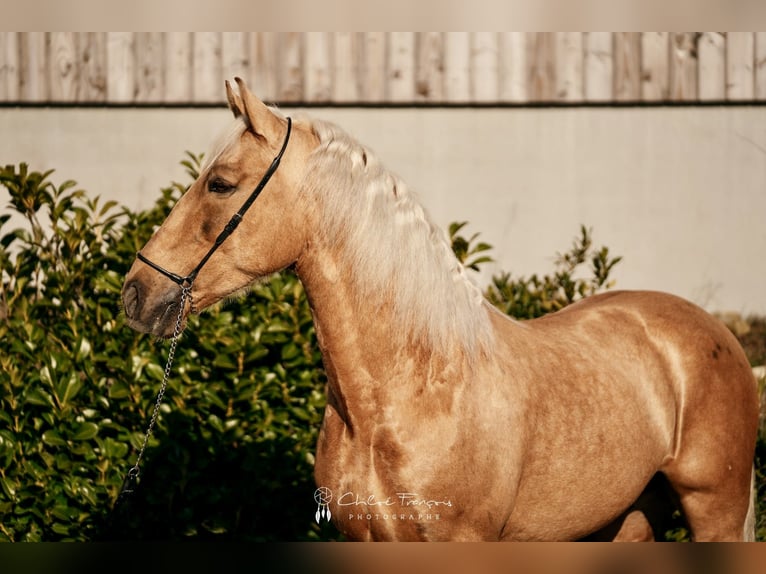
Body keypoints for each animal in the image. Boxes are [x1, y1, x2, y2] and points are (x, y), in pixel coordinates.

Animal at [121, 77, 760, 544]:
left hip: (715, 513)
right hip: (627, 519)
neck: (408, 390)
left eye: (221, 184)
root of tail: (719, 335)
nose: (135, 293)